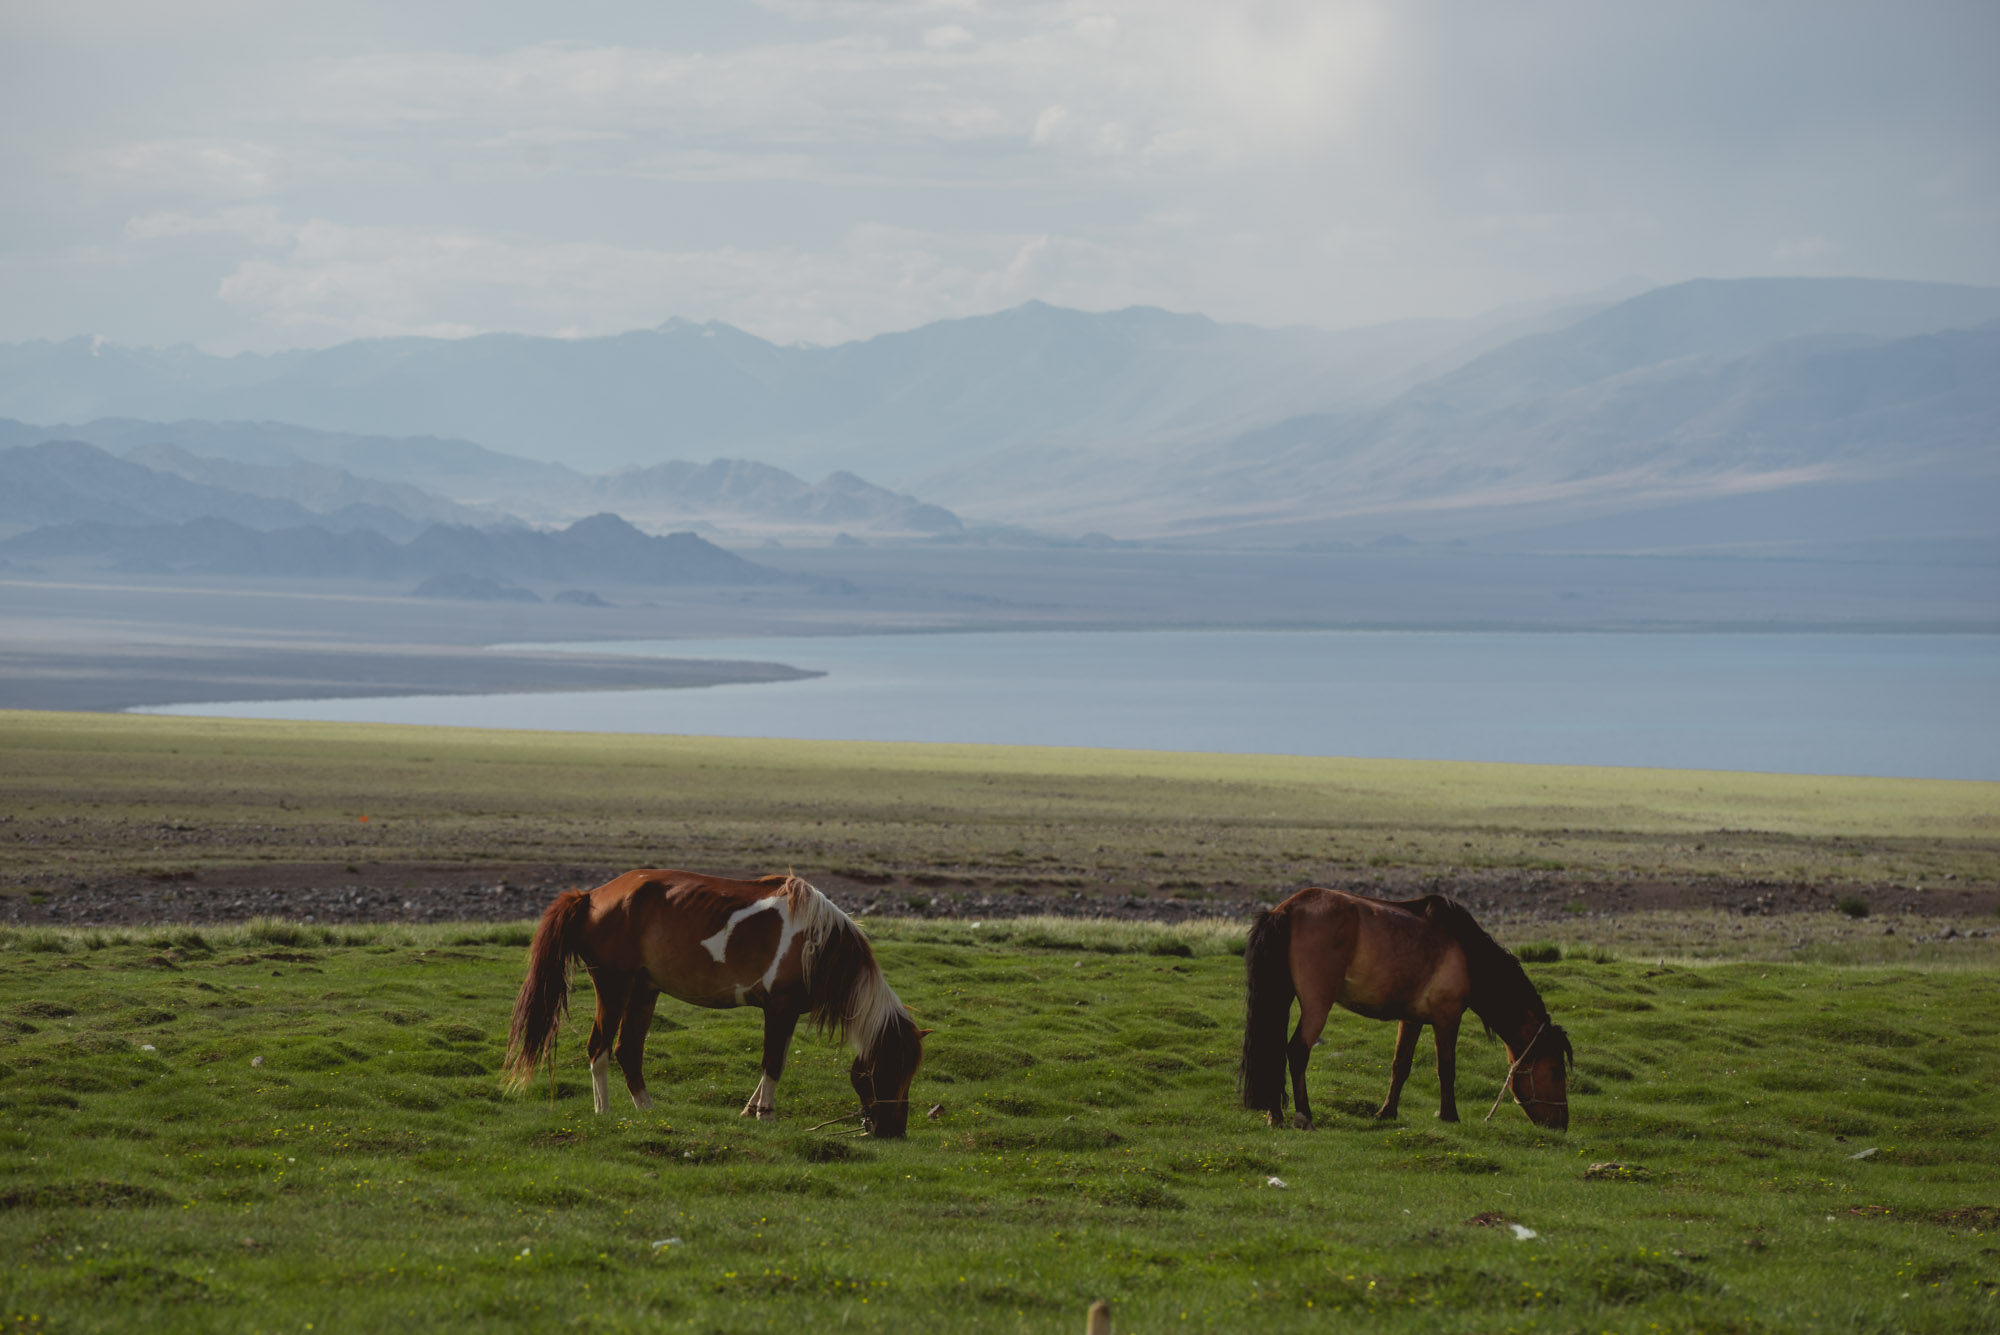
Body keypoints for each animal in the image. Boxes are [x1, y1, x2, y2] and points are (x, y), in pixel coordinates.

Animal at [508, 871, 928, 1143]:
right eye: (885, 1070)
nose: (894, 1131)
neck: (817, 943)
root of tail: (590, 897)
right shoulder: (779, 1009)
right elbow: (773, 1065)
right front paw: (766, 1117)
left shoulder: (786, 1013)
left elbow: (774, 1063)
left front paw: (750, 1111)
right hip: (613, 988)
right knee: (599, 1049)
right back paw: (604, 1114)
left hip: (644, 991)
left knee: (627, 1051)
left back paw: (649, 1112)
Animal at [1232, 891, 1576, 1135]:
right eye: (1556, 1072)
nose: (1561, 1124)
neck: (1464, 952)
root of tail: (1286, 910)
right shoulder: (1447, 1018)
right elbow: (1446, 1068)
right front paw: (1449, 1116)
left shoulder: (1411, 1020)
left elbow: (1400, 1066)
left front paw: (1386, 1112)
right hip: (1317, 1005)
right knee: (1297, 1051)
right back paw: (1304, 1116)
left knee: (1275, 1050)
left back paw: (1275, 1115)